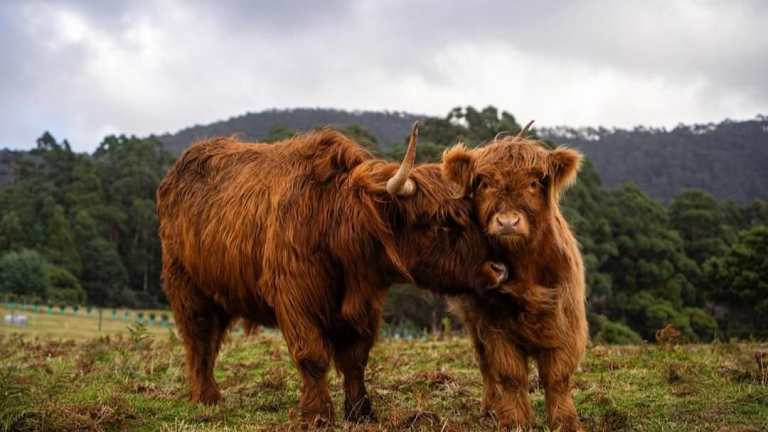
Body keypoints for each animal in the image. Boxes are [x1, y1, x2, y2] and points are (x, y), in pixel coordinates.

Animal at [156, 124, 509, 425]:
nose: (499, 268)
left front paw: (361, 412)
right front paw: (317, 414)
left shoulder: (366, 306)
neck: (333, 222)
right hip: (187, 287)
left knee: (211, 340)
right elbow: (312, 355)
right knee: (199, 340)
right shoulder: (295, 299)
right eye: (441, 222)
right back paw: (205, 397)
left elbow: (355, 359)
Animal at [442, 125, 587, 432]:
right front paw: (515, 420)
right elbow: (510, 375)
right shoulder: (494, 325)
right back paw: (490, 407)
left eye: (533, 183)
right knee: (485, 365)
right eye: (484, 183)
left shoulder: (567, 320)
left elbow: (558, 376)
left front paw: (565, 421)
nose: (508, 222)